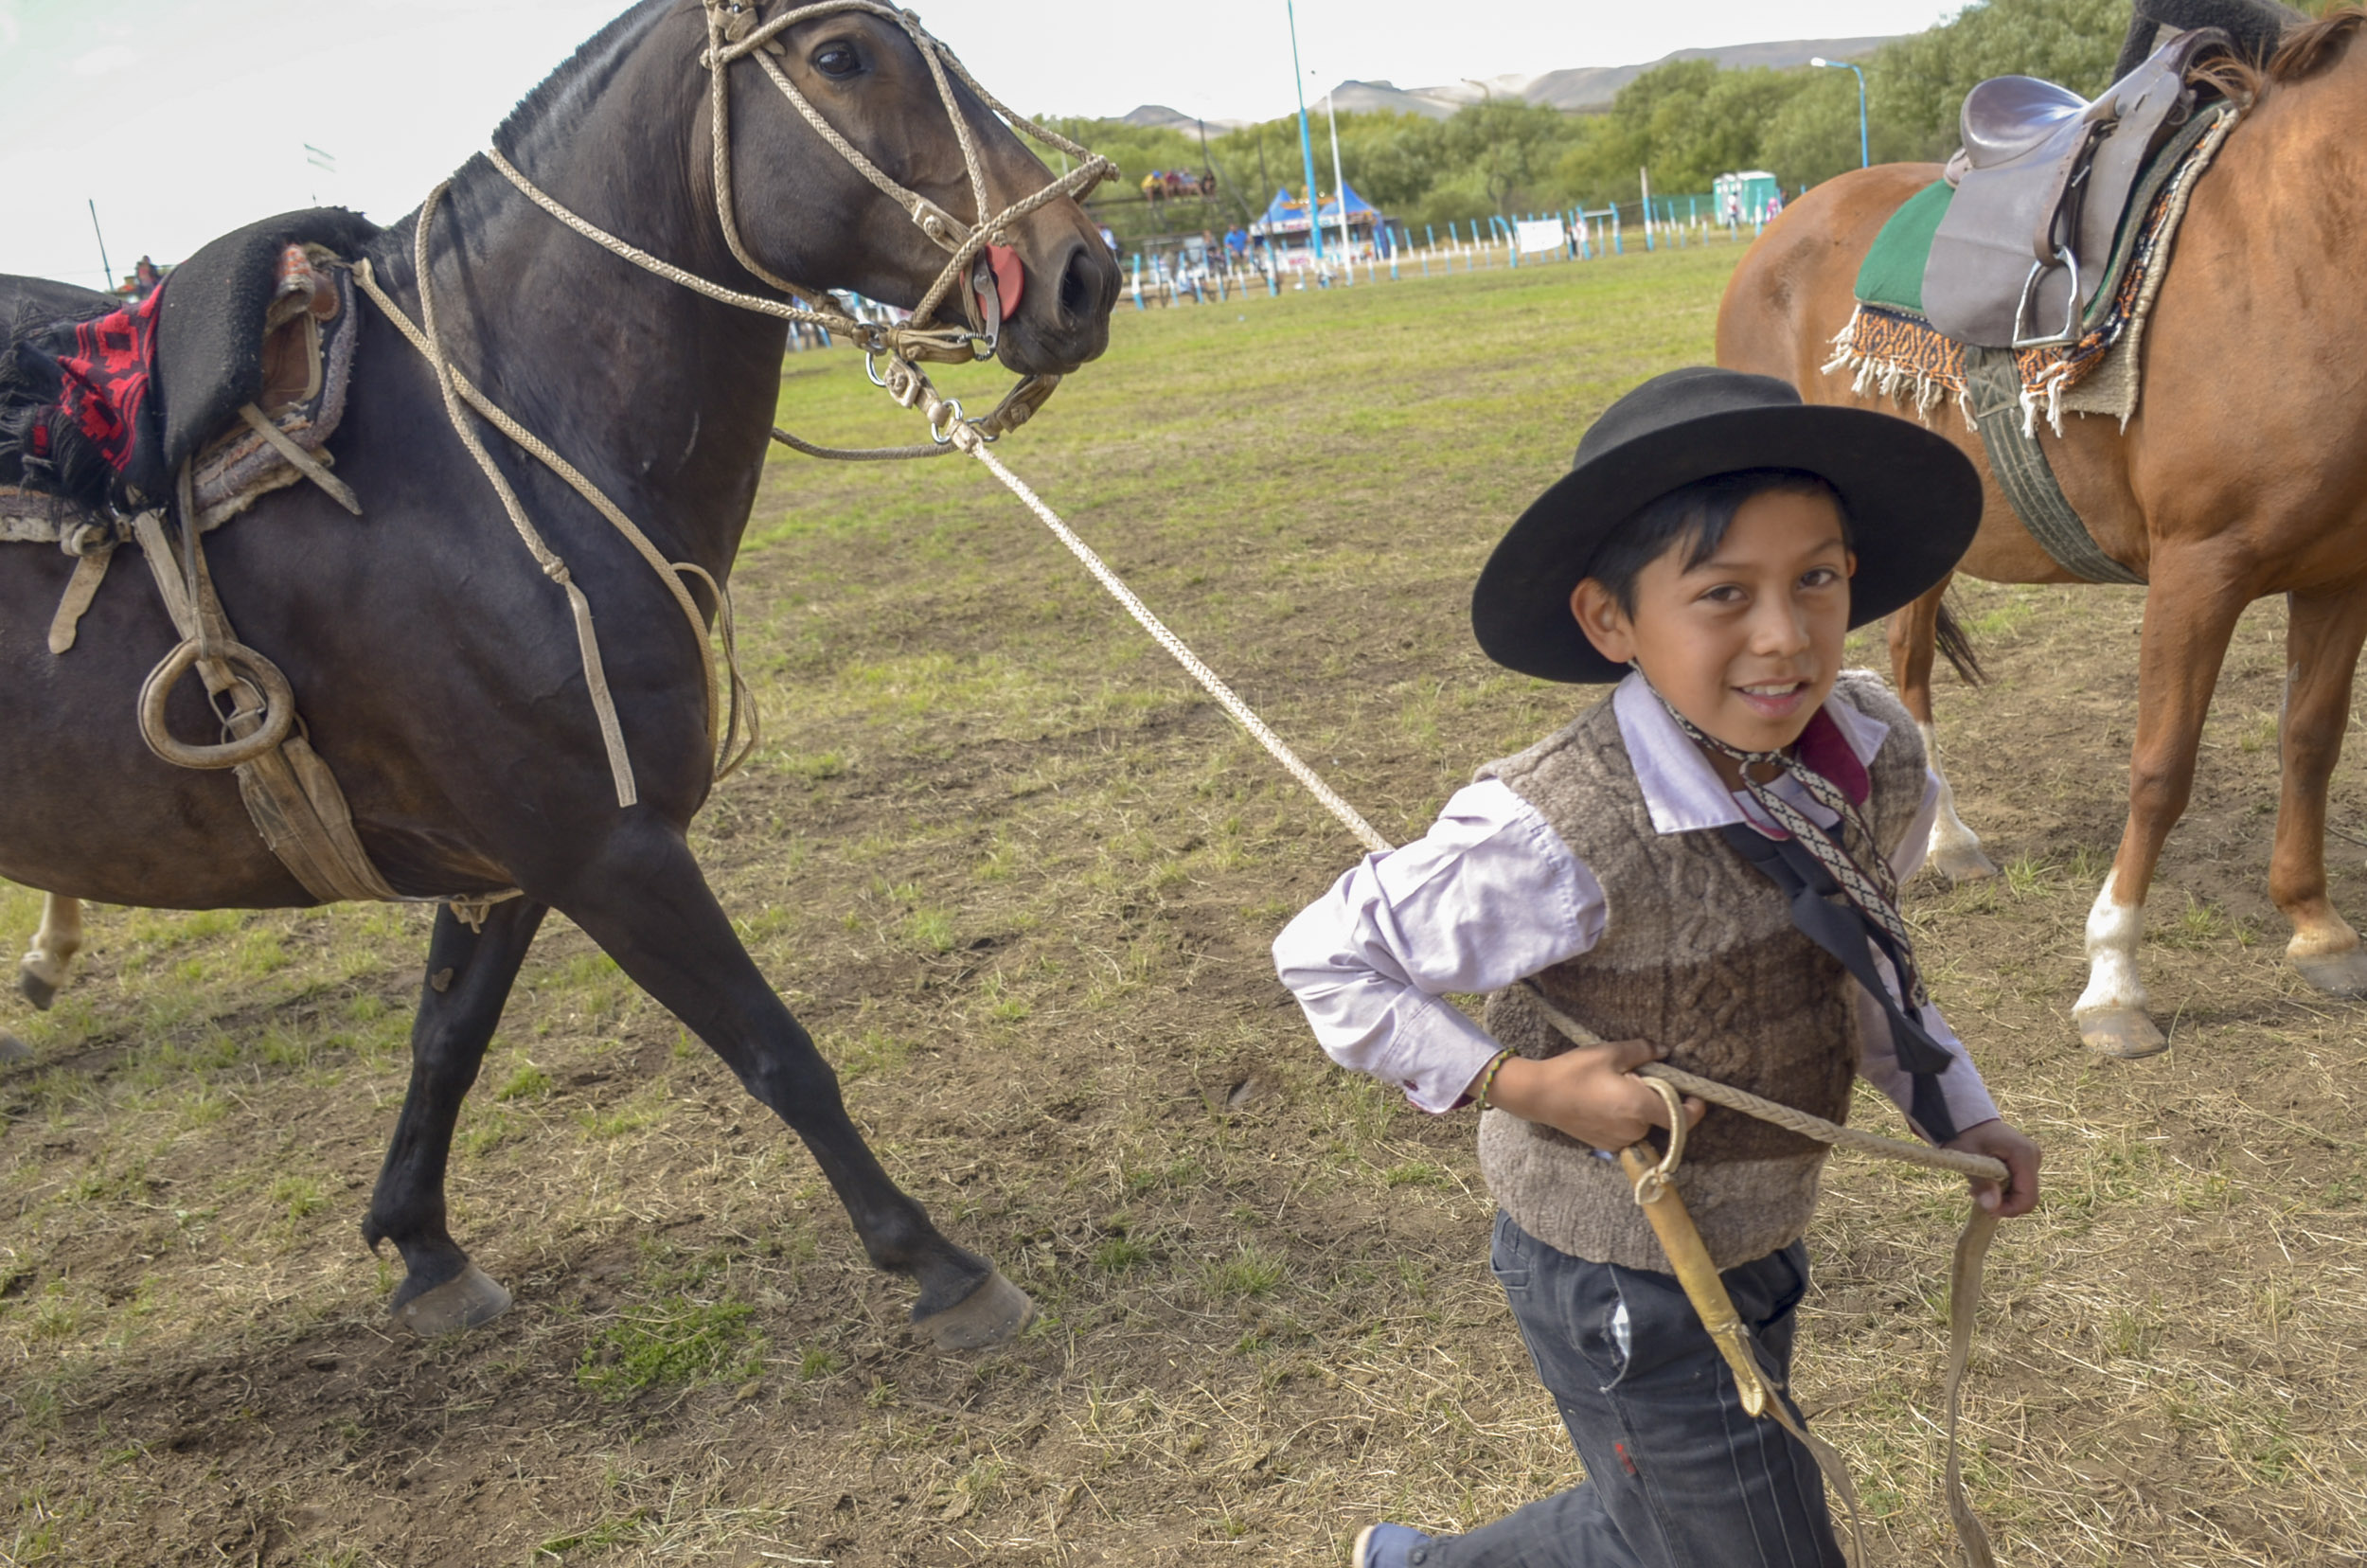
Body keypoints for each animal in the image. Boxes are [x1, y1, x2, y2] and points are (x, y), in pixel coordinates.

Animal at [0, 0, 1119, 1346]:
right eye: (840, 55)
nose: (1083, 271)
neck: (478, 448)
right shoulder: (609, 849)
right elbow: (776, 1051)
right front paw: (938, 1262)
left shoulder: (518, 858)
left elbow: (447, 1036)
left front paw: (424, 1246)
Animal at [1716, 10, 2367, 1059]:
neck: (2301, 248)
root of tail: (1779, 232)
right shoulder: (2200, 568)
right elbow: (2160, 768)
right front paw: (2113, 981)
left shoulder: (2341, 573)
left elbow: (2310, 741)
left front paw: (2316, 926)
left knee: (1905, 666)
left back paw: (1944, 842)